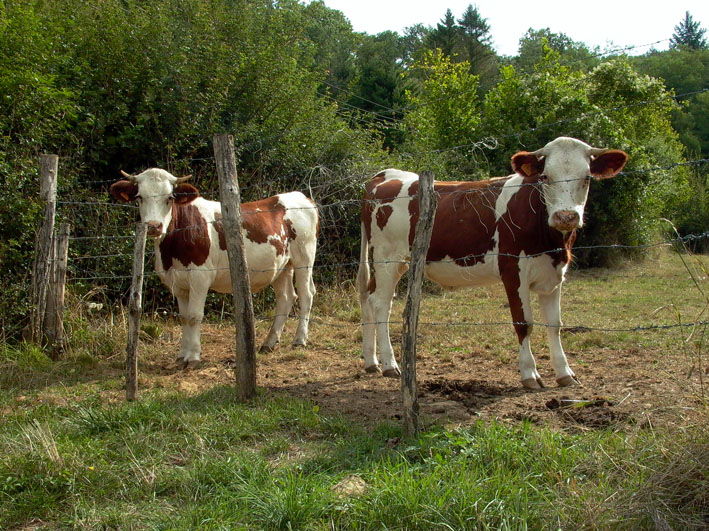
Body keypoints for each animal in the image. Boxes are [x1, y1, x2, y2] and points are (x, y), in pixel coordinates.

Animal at [110, 168, 319, 368]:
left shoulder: (200, 277)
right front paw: (181, 356)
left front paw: (193, 357)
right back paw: (269, 342)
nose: (154, 226)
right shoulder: (178, 282)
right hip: (283, 265)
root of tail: (300, 196)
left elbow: (194, 316)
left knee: (306, 294)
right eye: (139, 197)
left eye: (169, 198)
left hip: (304, 257)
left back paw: (300, 340)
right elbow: (184, 317)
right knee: (286, 297)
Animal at [357, 137, 628, 389]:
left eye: (587, 178)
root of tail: (385, 175)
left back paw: (372, 361)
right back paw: (390, 364)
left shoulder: (554, 274)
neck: (552, 243)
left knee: (369, 296)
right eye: (545, 176)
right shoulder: (513, 271)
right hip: (387, 258)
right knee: (381, 304)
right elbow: (524, 323)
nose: (566, 216)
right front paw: (529, 374)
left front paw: (564, 373)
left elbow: (555, 324)